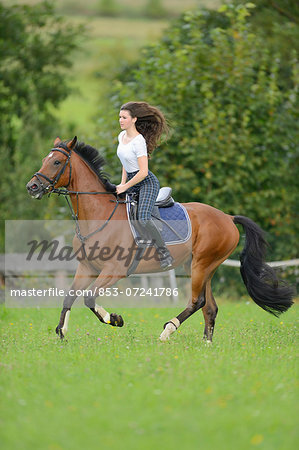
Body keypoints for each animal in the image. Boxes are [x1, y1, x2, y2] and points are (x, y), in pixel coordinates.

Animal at [26, 137, 296, 342]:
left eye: (57, 162)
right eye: (44, 160)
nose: (32, 187)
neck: (98, 215)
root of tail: (228, 217)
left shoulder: (114, 270)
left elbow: (89, 297)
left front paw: (115, 319)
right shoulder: (86, 267)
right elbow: (70, 296)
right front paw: (62, 331)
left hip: (202, 264)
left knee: (197, 301)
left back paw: (167, 331)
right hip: (199, 266)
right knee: (209, 307)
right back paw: (207, 345)